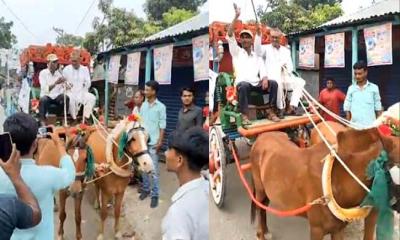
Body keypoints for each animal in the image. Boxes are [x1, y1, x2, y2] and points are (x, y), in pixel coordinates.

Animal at [248, 125, 398, 240]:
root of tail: (261, 137)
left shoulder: (338, 229)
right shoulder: (316, 230)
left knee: (264, 206)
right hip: (260, 189)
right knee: (259, 206)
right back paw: (261, 233)